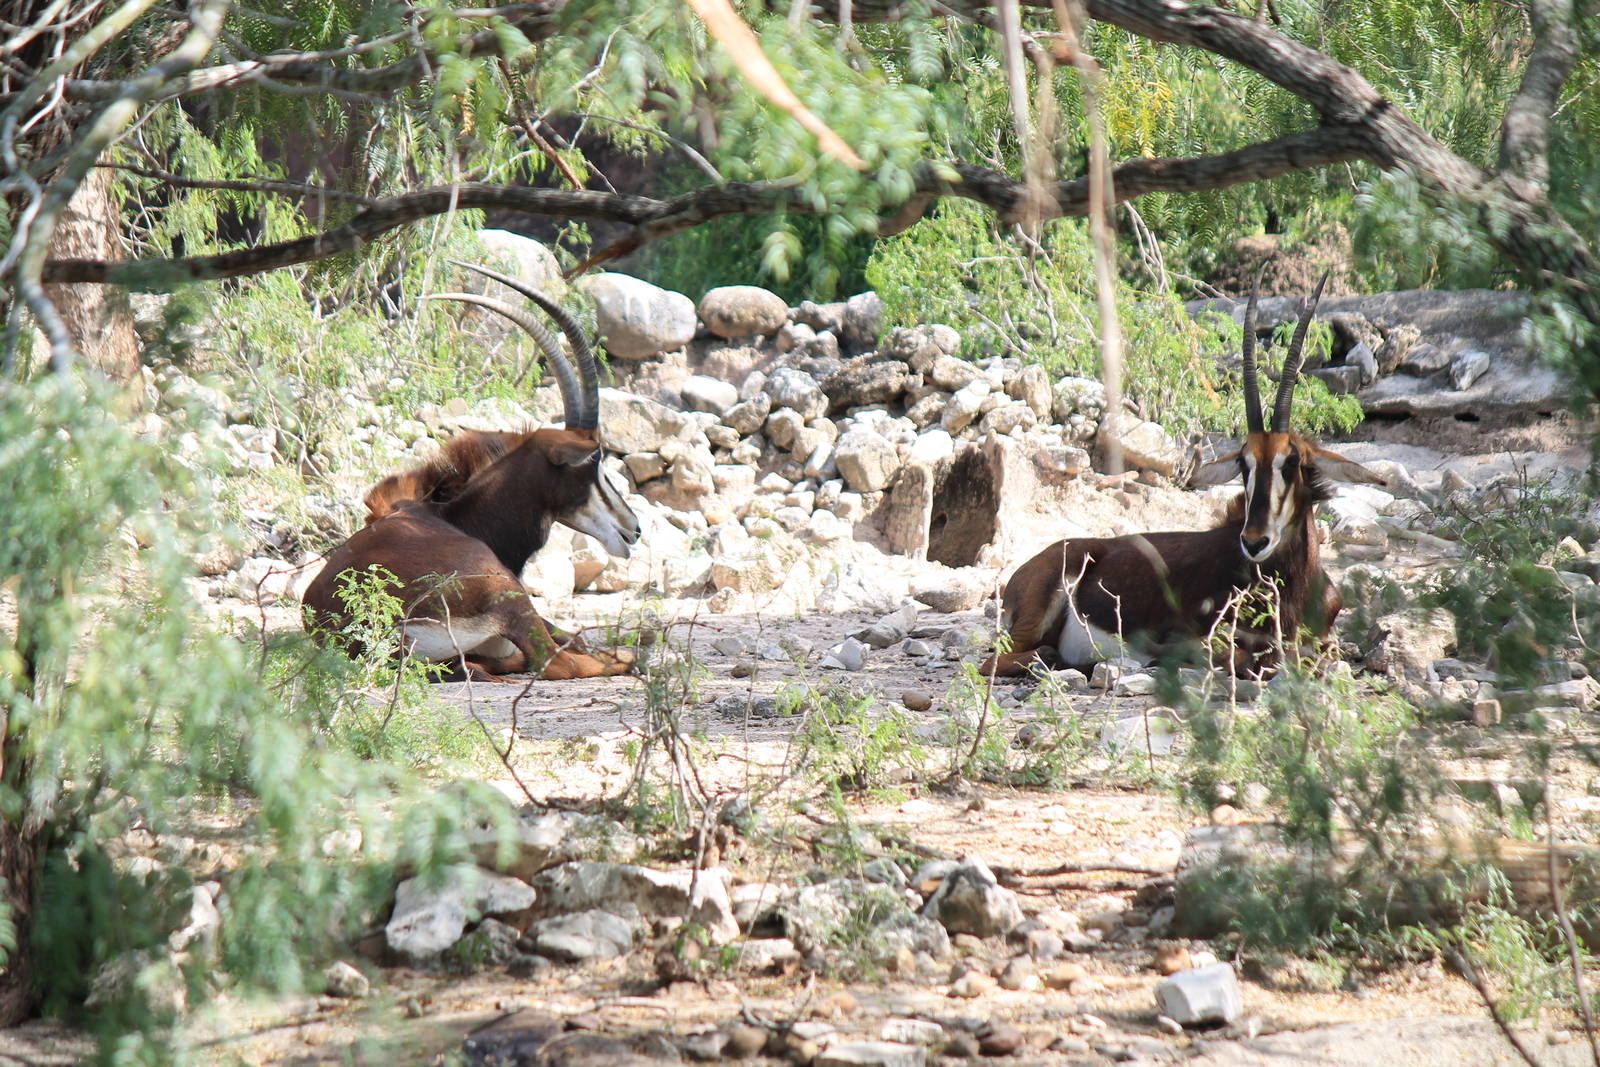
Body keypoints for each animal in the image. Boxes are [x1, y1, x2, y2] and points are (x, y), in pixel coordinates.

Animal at [302, 262, 641, 681]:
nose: (634, 528)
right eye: (594, 461)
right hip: (506, 592)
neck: (451, 515)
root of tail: (377, 622)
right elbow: (575, 640)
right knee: (558, 660)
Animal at [980, 274, 1385, 678]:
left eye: (1292, 461)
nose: (1255, 541)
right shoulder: (1210, 642)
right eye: (1244, 464)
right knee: (1007, 659)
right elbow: (1252, 659)